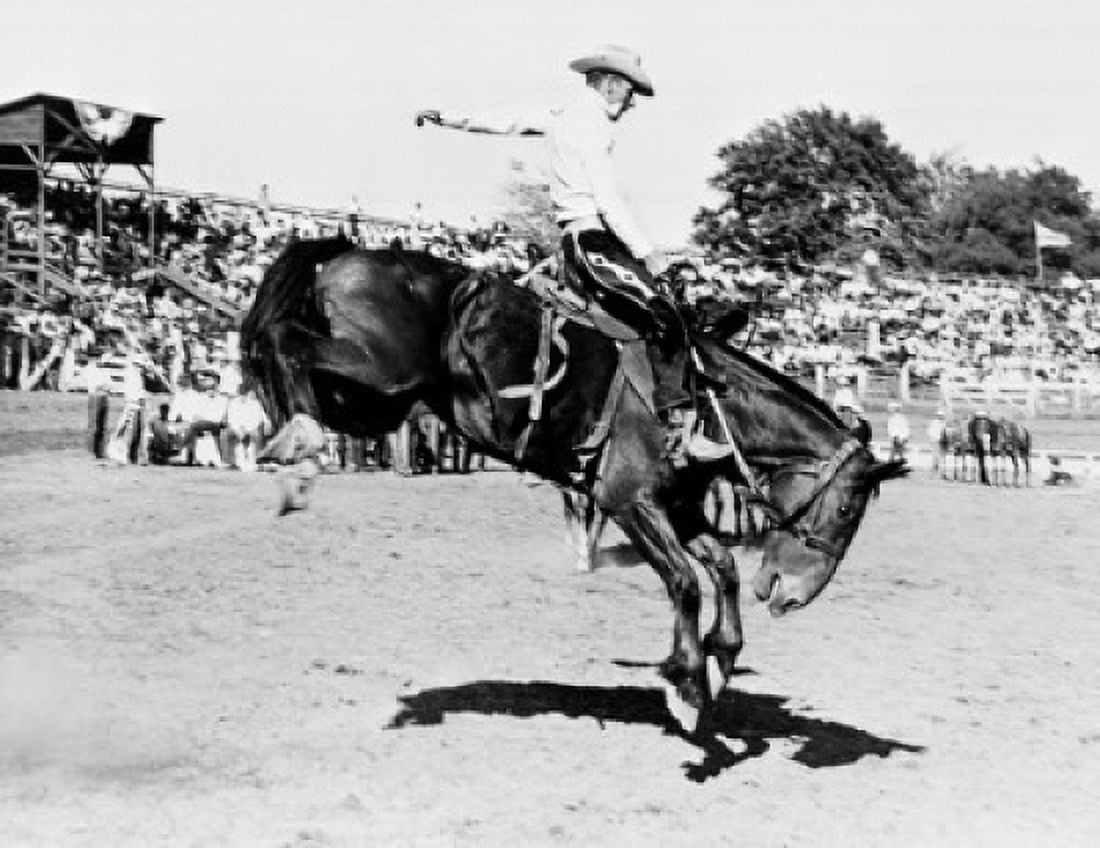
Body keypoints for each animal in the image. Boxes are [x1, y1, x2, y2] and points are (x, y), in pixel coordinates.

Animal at [241, 237, 906, 733]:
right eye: (846, 511)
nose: (792, 595)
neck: (707, 401)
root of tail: (347, 253)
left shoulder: (677, 507)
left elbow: (722, 570)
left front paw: (717, 661)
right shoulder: (629, 502)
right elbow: (686, 582)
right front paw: (688, 681)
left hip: (380, 399)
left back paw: (294, 456)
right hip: (384, 372)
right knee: (283, 341)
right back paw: (296, 443)